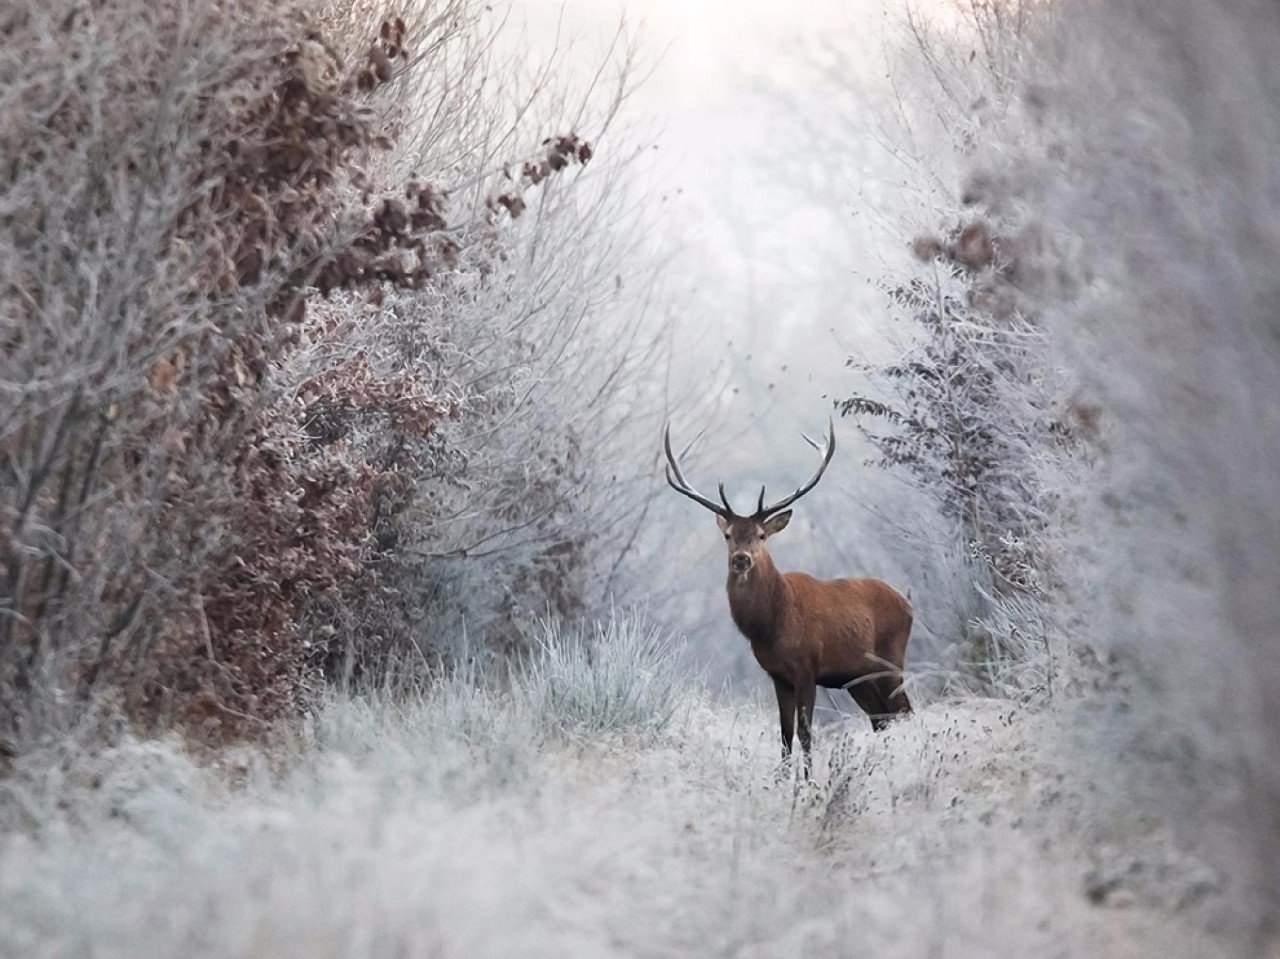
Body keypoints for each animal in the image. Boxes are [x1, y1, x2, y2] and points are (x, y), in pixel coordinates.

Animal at [665, 419, 916, 768]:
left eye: (761, 535)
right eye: (728, 535)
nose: (741, 558)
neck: (771, 624)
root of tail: (908, 603)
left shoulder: (807, 668)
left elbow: (805, 733)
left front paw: (809, 780)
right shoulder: (778, 676)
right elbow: (784, 736)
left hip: (891, 659)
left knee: (904, 711)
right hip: (858, 678)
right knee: (883, 719)